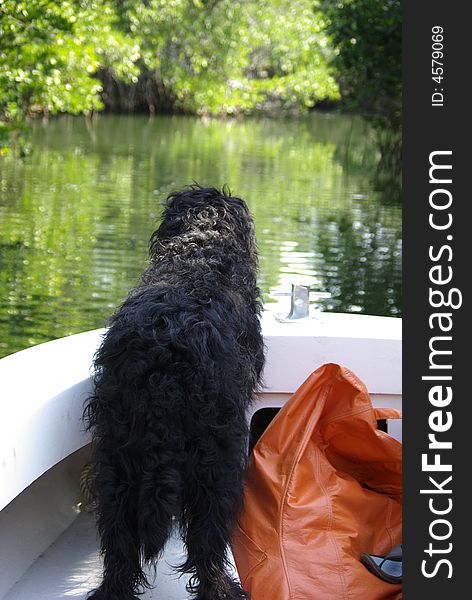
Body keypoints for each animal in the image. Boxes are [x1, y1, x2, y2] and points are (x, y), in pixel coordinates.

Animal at [84, 185, 266, 596]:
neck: (200, 250)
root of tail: (162, 361)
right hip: (217, 458)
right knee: (207, 537)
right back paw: (221, 587)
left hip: (116, 455)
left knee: (119, 539)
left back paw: (115, 589)